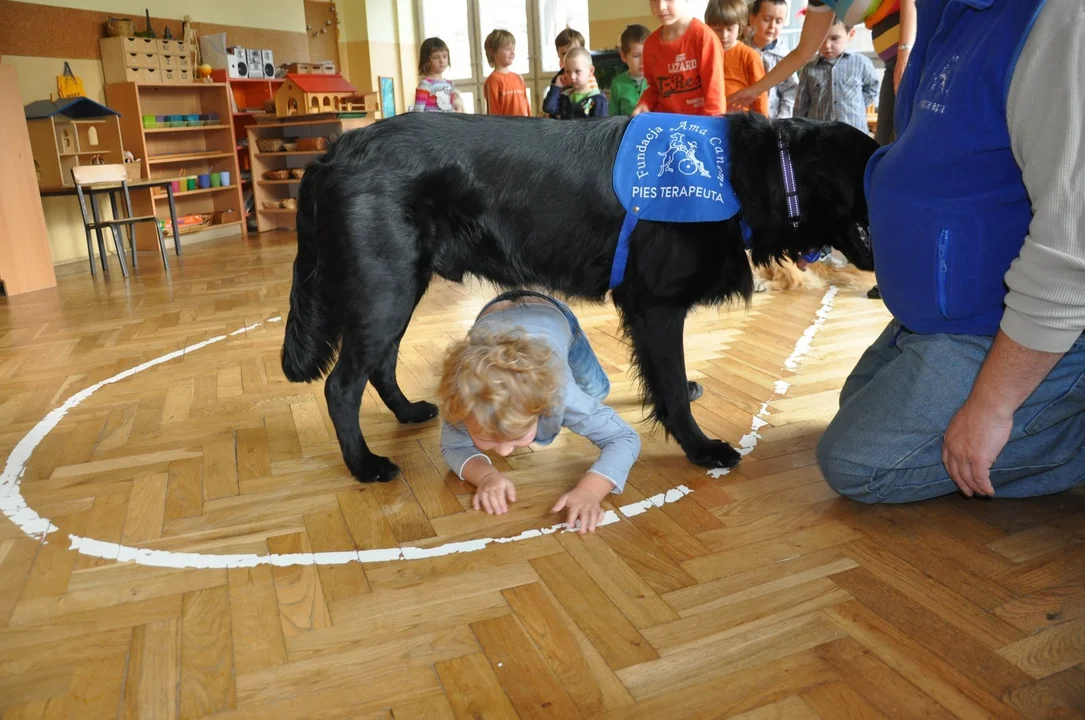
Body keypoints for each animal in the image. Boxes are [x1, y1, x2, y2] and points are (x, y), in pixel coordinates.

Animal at [282, 112, 881, 483]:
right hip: (384, 287)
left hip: (398, 285)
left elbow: (664, 378)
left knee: (379, 364)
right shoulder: (655, 305)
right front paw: (699, 447)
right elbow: (669, 384)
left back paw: (408, 412)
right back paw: (364, 465)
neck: (747, 173)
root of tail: (332, 154)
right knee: (341, 385)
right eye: (874, 171)